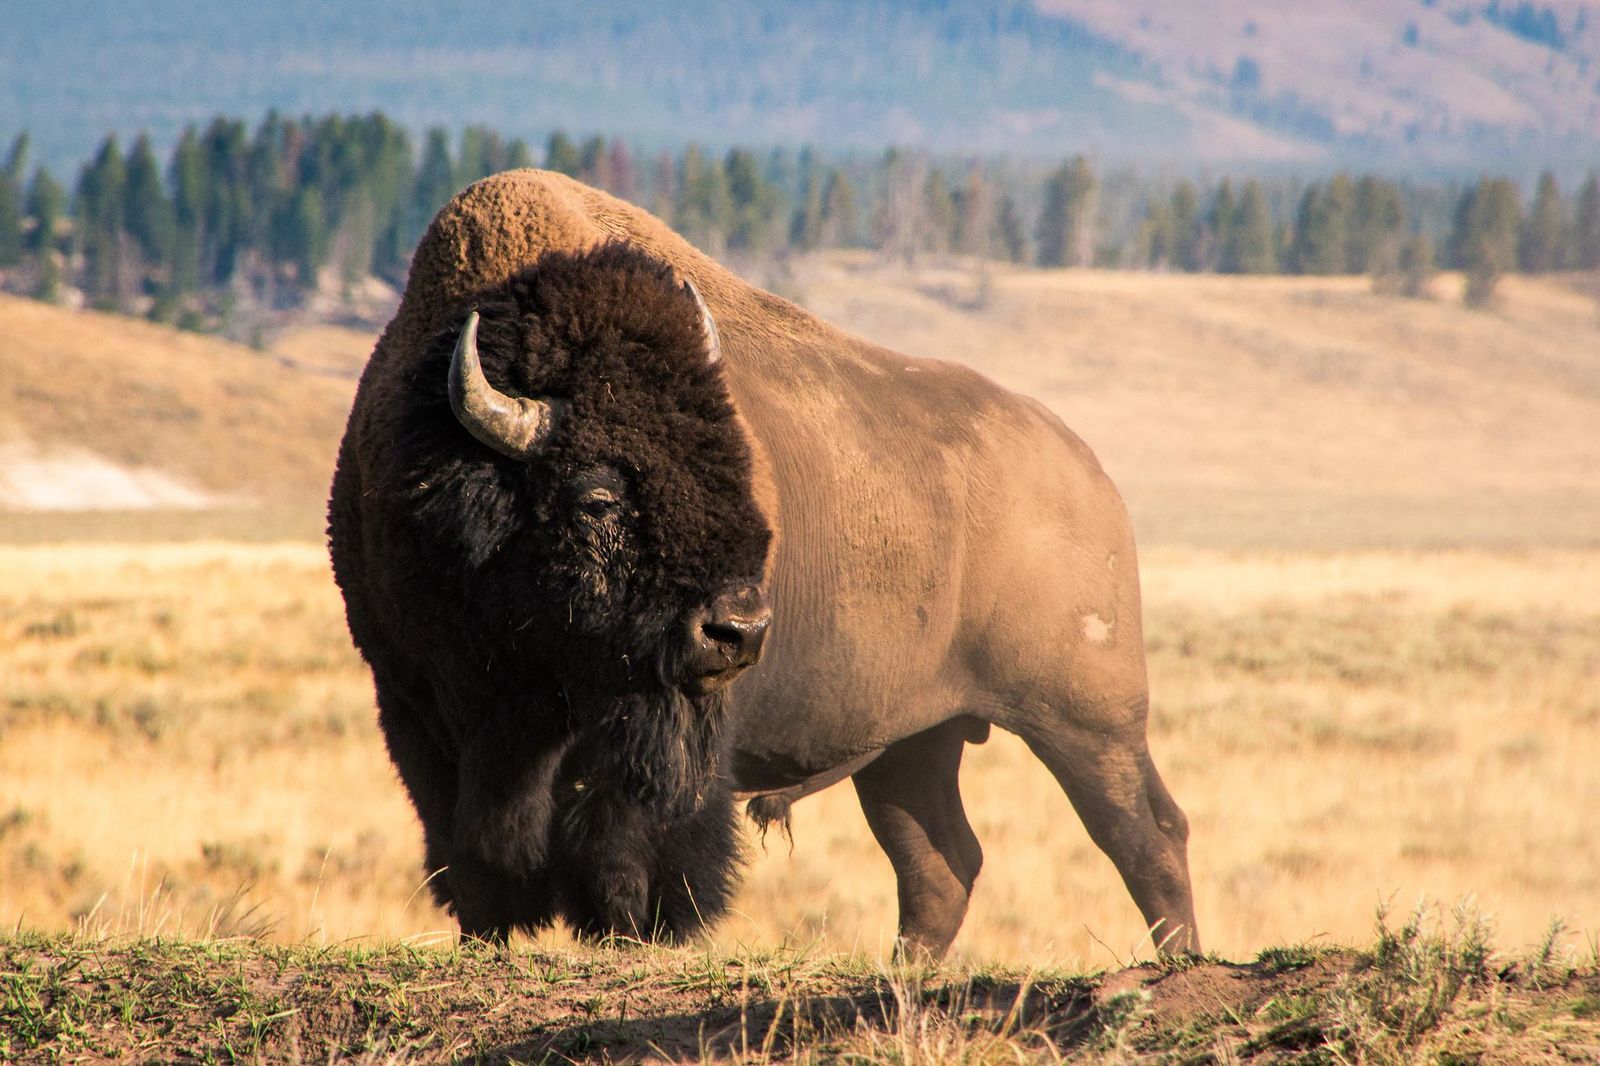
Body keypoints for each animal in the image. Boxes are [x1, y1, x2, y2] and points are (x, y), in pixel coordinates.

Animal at [328, 168, 1203, 953]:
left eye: (738, 475)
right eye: (597, 498)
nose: (738, 631)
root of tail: (1088, 472)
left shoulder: (664, 732)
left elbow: (637, 848)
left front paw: (637, 938)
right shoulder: (415, 708)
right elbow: (469, 857)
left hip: (1086, 721)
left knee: (1147, 834)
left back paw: (1177, 963)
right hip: (915, 742)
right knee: (940, 864)